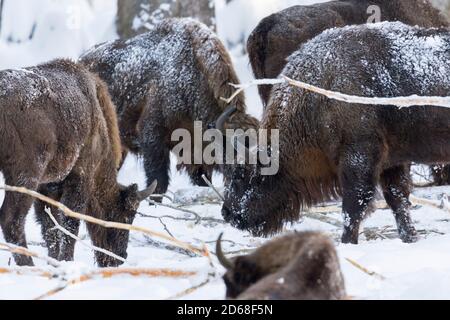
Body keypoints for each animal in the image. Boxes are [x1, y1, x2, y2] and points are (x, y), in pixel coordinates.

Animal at [0, 60, 156, 268]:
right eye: (126, 215)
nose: (119, 258)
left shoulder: (47, 186)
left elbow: (50, 226)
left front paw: (55, 261)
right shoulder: (80, 176)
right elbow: (70, 221)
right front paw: (66, 260)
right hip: (25, 175)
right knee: (12, 220)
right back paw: (28, 264)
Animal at [223, 21, 450, 245]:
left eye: (243, 177)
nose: (227, 213)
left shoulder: (359, 158)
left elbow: (354, 207)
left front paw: (347, 242)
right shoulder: (392, 162)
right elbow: (397, 199)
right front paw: (410, 237)